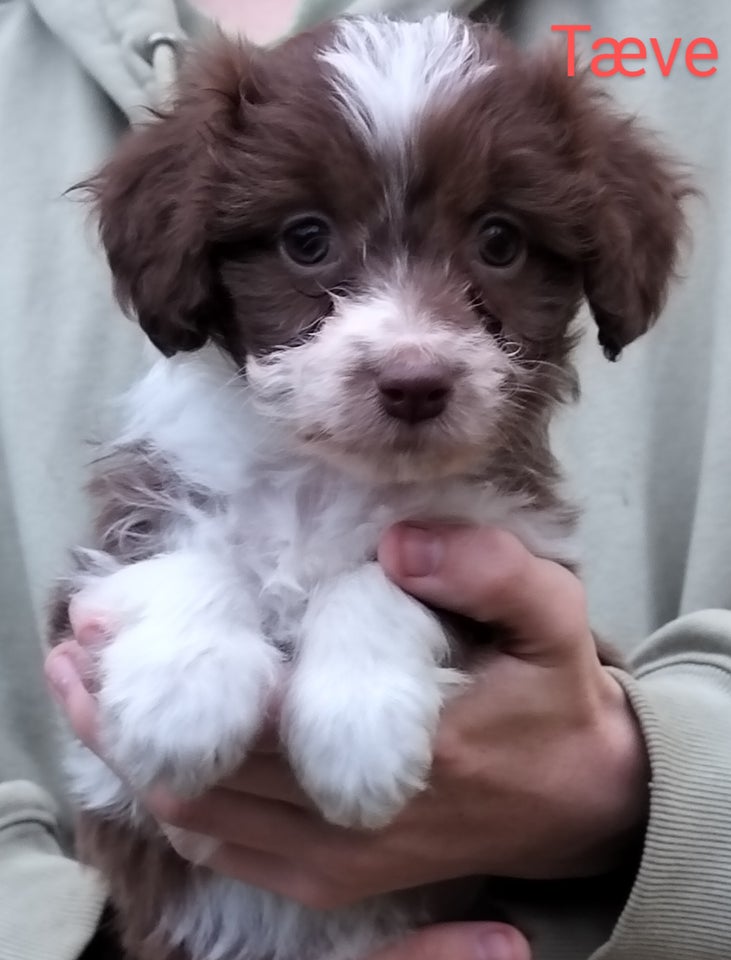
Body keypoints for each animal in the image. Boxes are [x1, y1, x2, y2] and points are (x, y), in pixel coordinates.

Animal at [54, 13, 688, 960]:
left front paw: (356, 727)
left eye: (499, 241)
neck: (331, 478)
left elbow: (380, 580)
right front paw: (181, 696)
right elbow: (179, 554)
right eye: (306, 238)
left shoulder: (520, 545)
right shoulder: (106, 551)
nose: (414, 382)